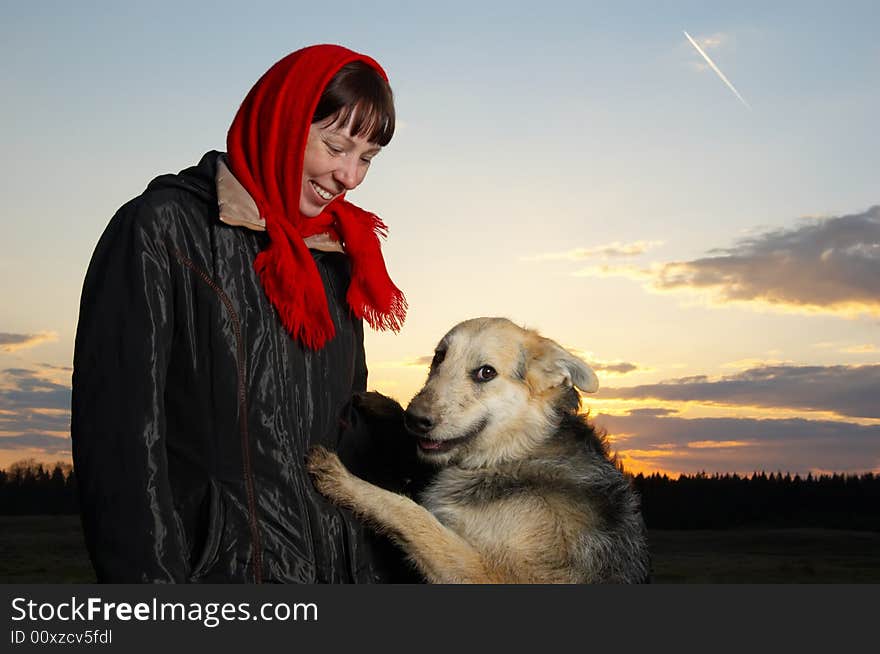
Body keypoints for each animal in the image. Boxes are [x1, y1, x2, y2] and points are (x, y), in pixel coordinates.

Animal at [306, 318, 648, 584]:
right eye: (438, 358)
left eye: (486, 373)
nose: (415, 419)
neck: (516, 451)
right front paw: (382, 403)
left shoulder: (488, 574)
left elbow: (411, 514)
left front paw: (343, 481)